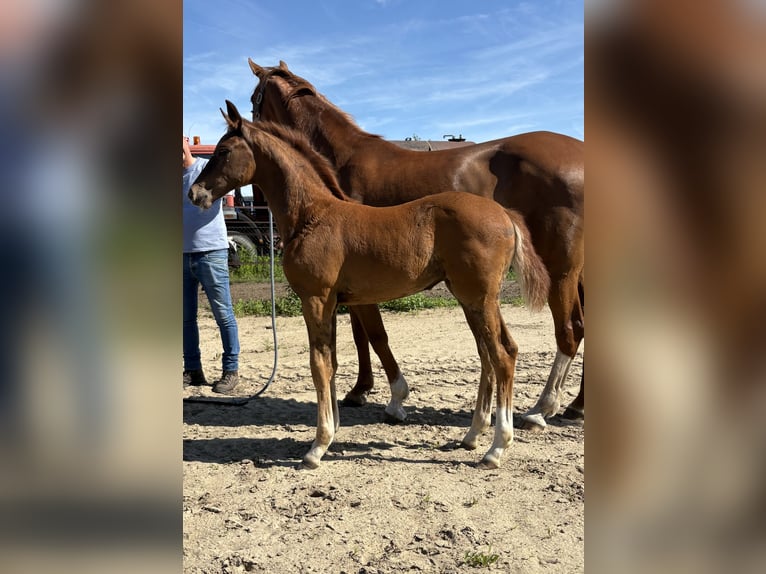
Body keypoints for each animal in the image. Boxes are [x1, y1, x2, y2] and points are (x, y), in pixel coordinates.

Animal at [189, 101, 551, 469]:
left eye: (223, 151)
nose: (195, 193)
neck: (312, 215)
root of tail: (505, 214)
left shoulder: (315, 299)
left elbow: (319, 364)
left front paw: (318, 446)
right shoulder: (332, 304)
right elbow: (331, 363)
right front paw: (331, 429)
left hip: (478, 297)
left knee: (502, 355)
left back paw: (497, 448)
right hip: (472, 298)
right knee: (490, 354)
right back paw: (473, 435)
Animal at [247, 60, 585, 430]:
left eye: (253, 100)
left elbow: (374, 335)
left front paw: (386, 397)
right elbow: (362, 335)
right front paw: (360, 389)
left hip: (560, 271)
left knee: (568, 332)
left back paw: (541, 408)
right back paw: (576, 406)